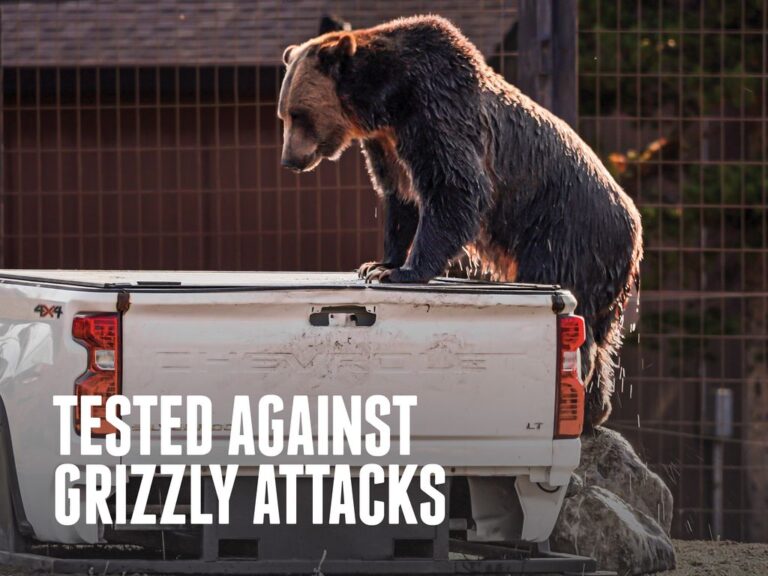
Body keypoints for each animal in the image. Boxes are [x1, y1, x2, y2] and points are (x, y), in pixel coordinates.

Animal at [277, 15, 642, 427]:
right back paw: (596, 408)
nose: (290, 160)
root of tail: (636, 232)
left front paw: (402, 271)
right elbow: (401, 202)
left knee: (572, 306)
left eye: (299, 114)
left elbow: (455, 187)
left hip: (564, 231)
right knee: (602, 335)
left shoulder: (436, 111)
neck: (387, 102)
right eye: (284, 114)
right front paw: (377, 263)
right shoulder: (387, 146)